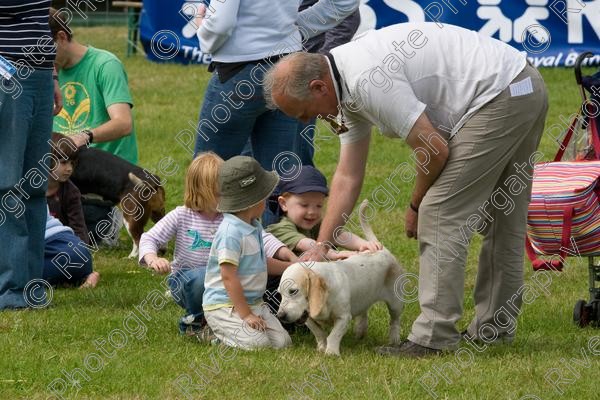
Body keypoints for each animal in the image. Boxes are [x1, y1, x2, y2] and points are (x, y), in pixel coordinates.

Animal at [276, 200, 406, 356]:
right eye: (279, 294)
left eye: (293, 291)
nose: (280, 316)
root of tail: (382, 250)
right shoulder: (308, 319)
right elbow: (319, 332)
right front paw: (322, 347)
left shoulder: (343, 318)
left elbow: (334, 335)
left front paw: (331, 352)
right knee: (363, 313)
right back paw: (360, 331)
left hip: (395, 303)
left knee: (395, 321)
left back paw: (394, 339)